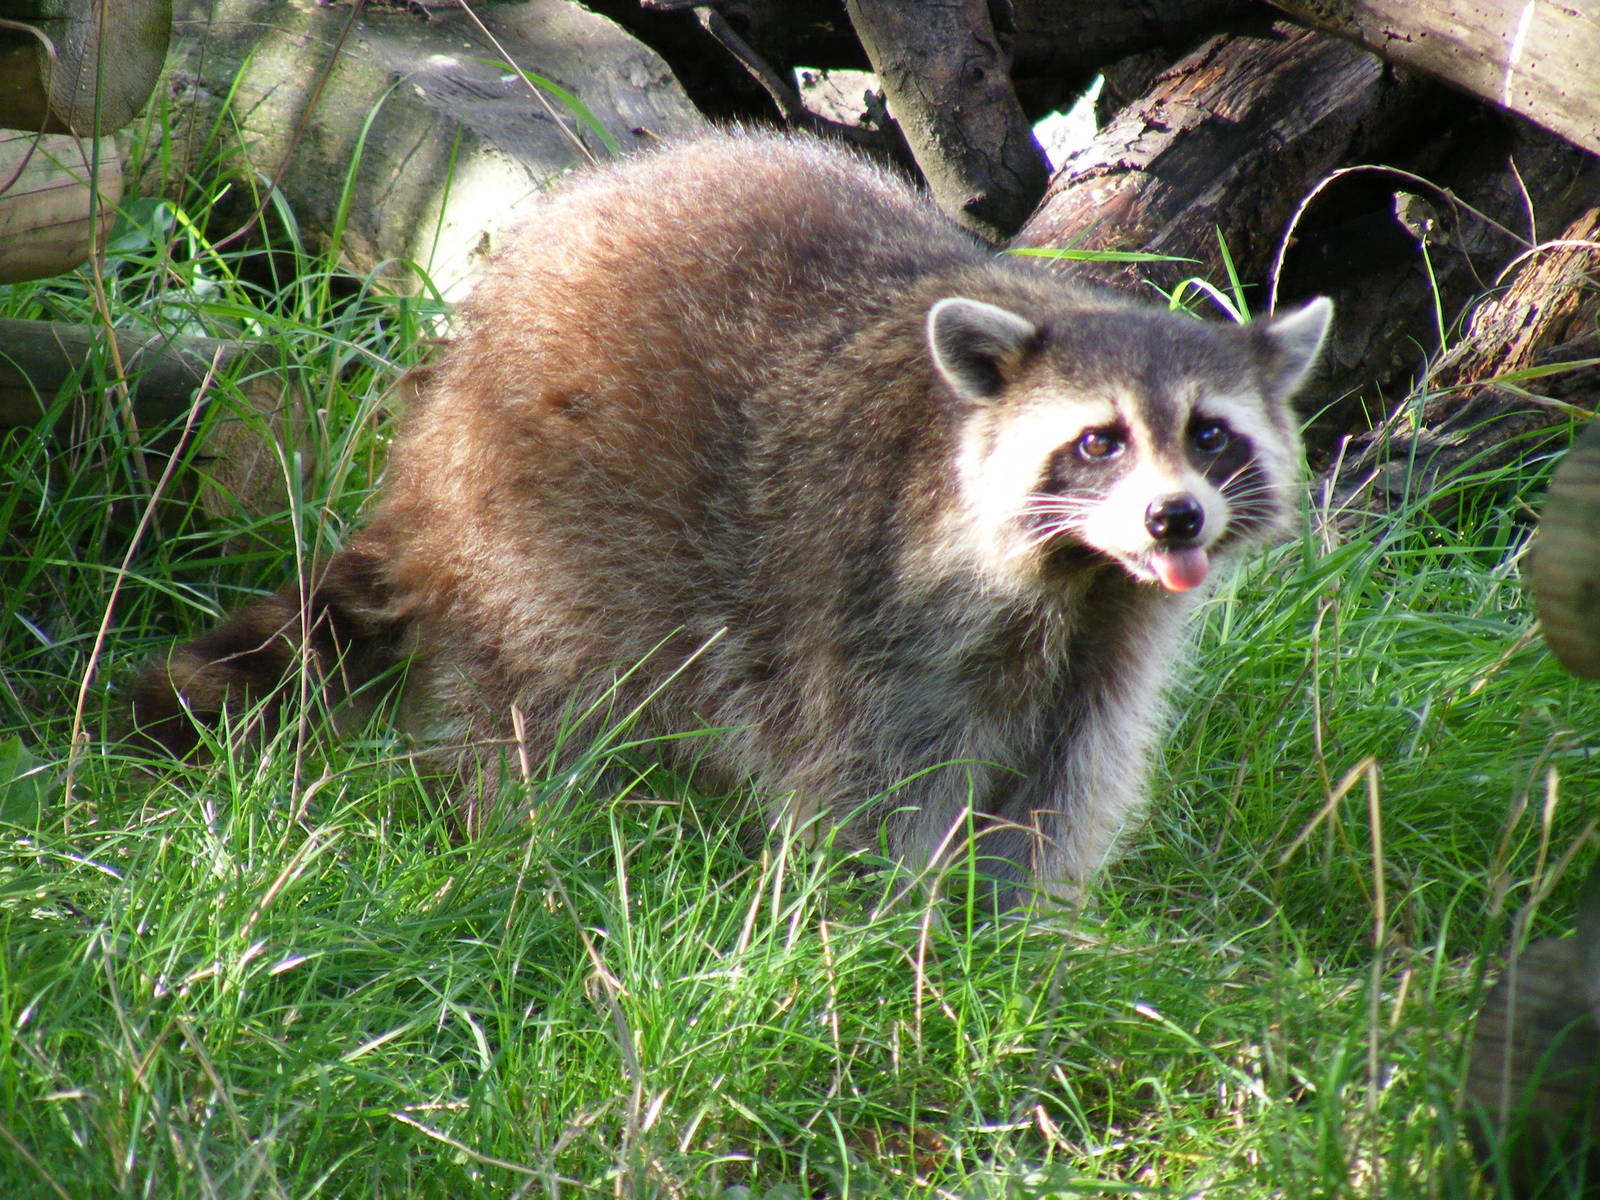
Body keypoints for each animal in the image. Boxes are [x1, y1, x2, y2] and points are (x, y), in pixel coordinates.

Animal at [127, 130, 1330, 905]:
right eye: (1100, 441)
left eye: (1211, 435)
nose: (1174, 520)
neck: (1079, 576)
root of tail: (443, 412)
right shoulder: (876, 598)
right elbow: (877, 786)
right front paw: (894, 933)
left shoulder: (1108, 646)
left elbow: (1059, 788)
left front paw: (1018, 935)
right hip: (541, 526)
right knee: (527, 700)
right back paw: (522, 836)